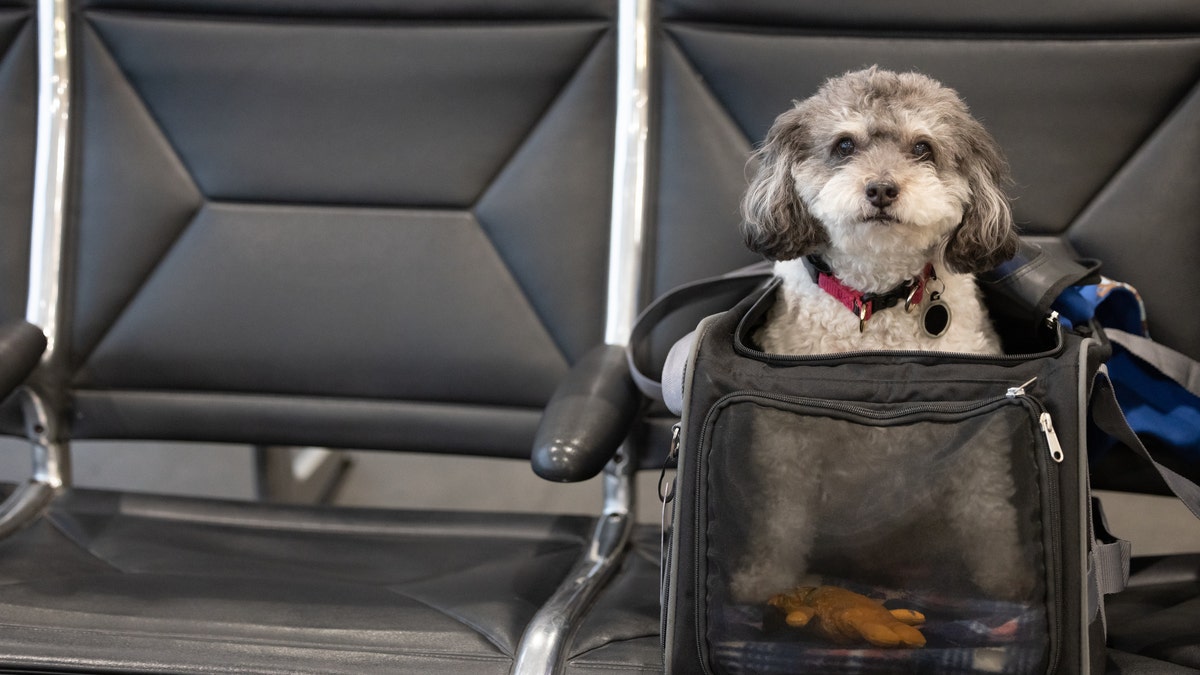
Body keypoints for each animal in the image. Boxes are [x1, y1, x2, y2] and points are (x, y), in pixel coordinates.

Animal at [724, 68, 1036, 605]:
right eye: (844, 145)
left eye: (923, 148)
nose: (882, 189)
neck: (877, 299)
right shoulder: (787, 442)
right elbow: (781, 519)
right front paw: (767, 580)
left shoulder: (979, 441)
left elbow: (987, 513)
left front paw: (1007, 580)